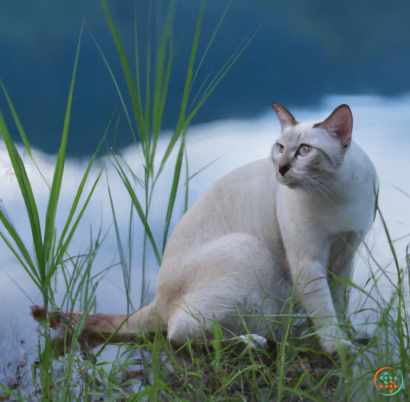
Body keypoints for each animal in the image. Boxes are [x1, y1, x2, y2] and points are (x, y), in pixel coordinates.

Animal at [32, 102, 378, 356]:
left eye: (304, 151)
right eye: (280, 148)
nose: (281, 169)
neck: (336, 194)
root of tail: (158, 298)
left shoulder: (344, 254)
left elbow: (340, 302)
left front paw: (351, 335)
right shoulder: (308, 260)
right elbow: (324, 311)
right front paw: (338, 347)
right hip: (250, 254)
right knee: (179, 333)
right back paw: (254, 343)